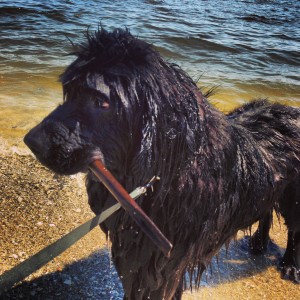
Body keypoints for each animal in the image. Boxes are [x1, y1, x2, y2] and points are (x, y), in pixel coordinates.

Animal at [25, 27, 300, 298]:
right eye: (69, 92)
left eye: (101, 102)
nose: (31, 141)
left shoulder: (165, 256)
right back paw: (259, 243)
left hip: (294, 197)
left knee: (294, 230)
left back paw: (290, 267)